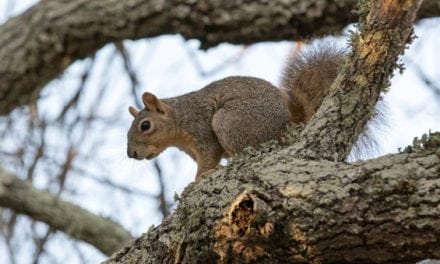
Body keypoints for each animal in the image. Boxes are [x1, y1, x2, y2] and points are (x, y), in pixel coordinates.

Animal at [127, 43, 348, 182]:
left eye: (145, 125)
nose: (131, 154)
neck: (180, 118)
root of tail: (290, 123)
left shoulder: (201, 131)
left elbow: (209, 156)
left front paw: (199, 179)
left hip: (229, 122)